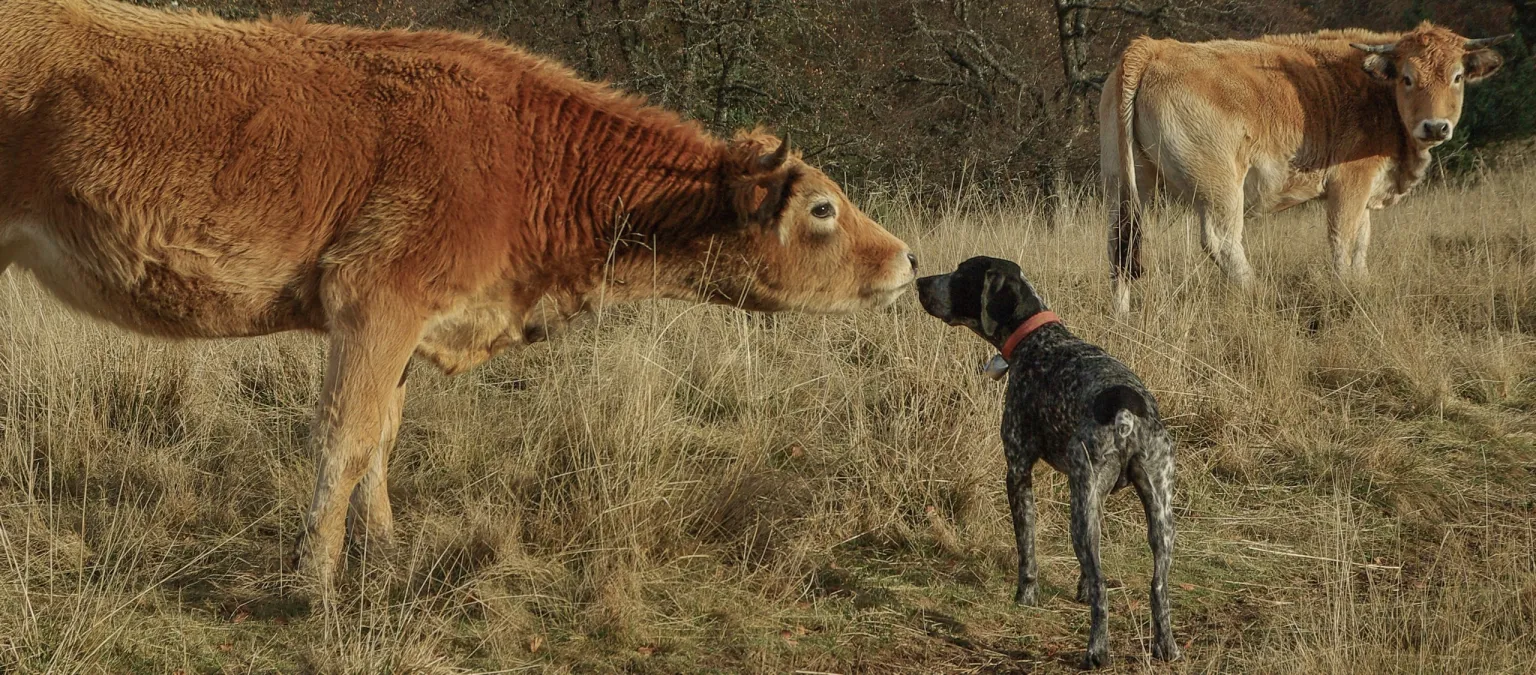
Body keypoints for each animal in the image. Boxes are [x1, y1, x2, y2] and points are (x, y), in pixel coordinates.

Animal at [0, 0, 915, 590]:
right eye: (824, 207)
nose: (907, 259)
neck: (524, 158)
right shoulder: (374, 303)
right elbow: (346, 436)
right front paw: (313, 580)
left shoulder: (408, 325)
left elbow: (381, 439)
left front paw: (383, 551)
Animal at [915, 256, 1179, 667]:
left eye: (961, 273)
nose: (920, 282)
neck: (1038, 338)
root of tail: (1126, 411)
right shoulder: (1094, 497)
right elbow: (1091, 571)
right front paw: (1079, 589)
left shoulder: (1018, 470)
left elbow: (1027, 546)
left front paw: (1026, 595)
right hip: (1159, 515)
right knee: (1157, 585)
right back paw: (1164, 645)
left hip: (1080, 511)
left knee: (1104, 590)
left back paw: (1096, 651)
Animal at [1105, 22, 1511, 315]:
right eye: (1407, 77)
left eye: (1457, 77)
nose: (1435, 127)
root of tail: (1155, 46)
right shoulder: (1349, 184)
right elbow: (1343, 242)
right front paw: (1346, 291)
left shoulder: (1366, 191)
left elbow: (1361, 243)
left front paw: (1361, 283)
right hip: (1220, 188)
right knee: (1223, 241)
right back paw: (1259, 295)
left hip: (1124, 185)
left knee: (1120, 244)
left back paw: (1122, 315)